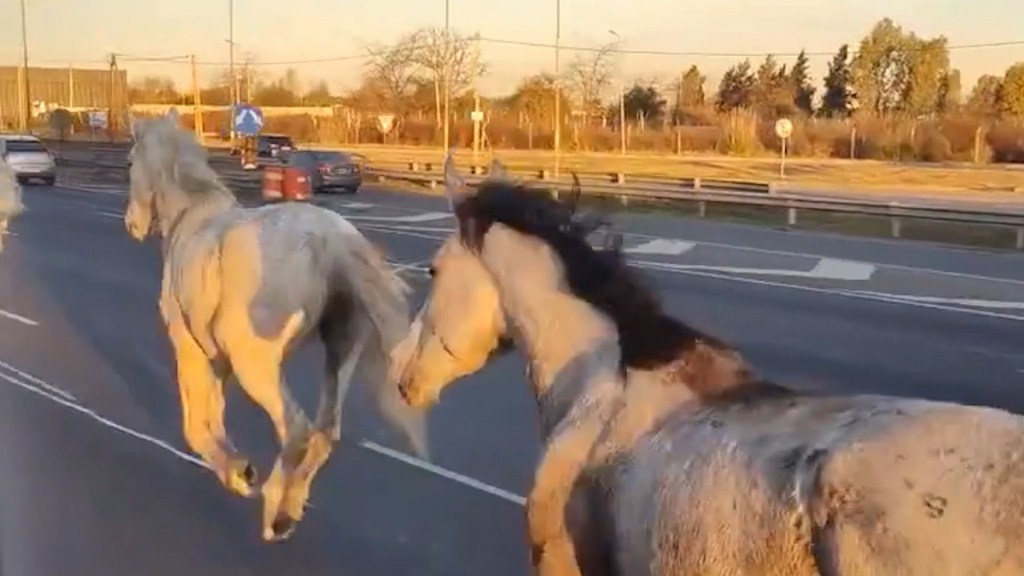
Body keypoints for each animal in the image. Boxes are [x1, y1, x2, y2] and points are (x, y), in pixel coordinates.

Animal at [124, 109, 428, 541]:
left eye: (130, 162)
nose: (131, 224)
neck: (192, 214)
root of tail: (330, 242)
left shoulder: (189, 345)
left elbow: (196, 423)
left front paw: (239, 474)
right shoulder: (218, 358)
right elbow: (214, 411)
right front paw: (237, 467)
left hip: (257, 363)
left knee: (297, 428)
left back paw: (274, 508)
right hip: (340, 350)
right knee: (325, 432)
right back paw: (290, 507)